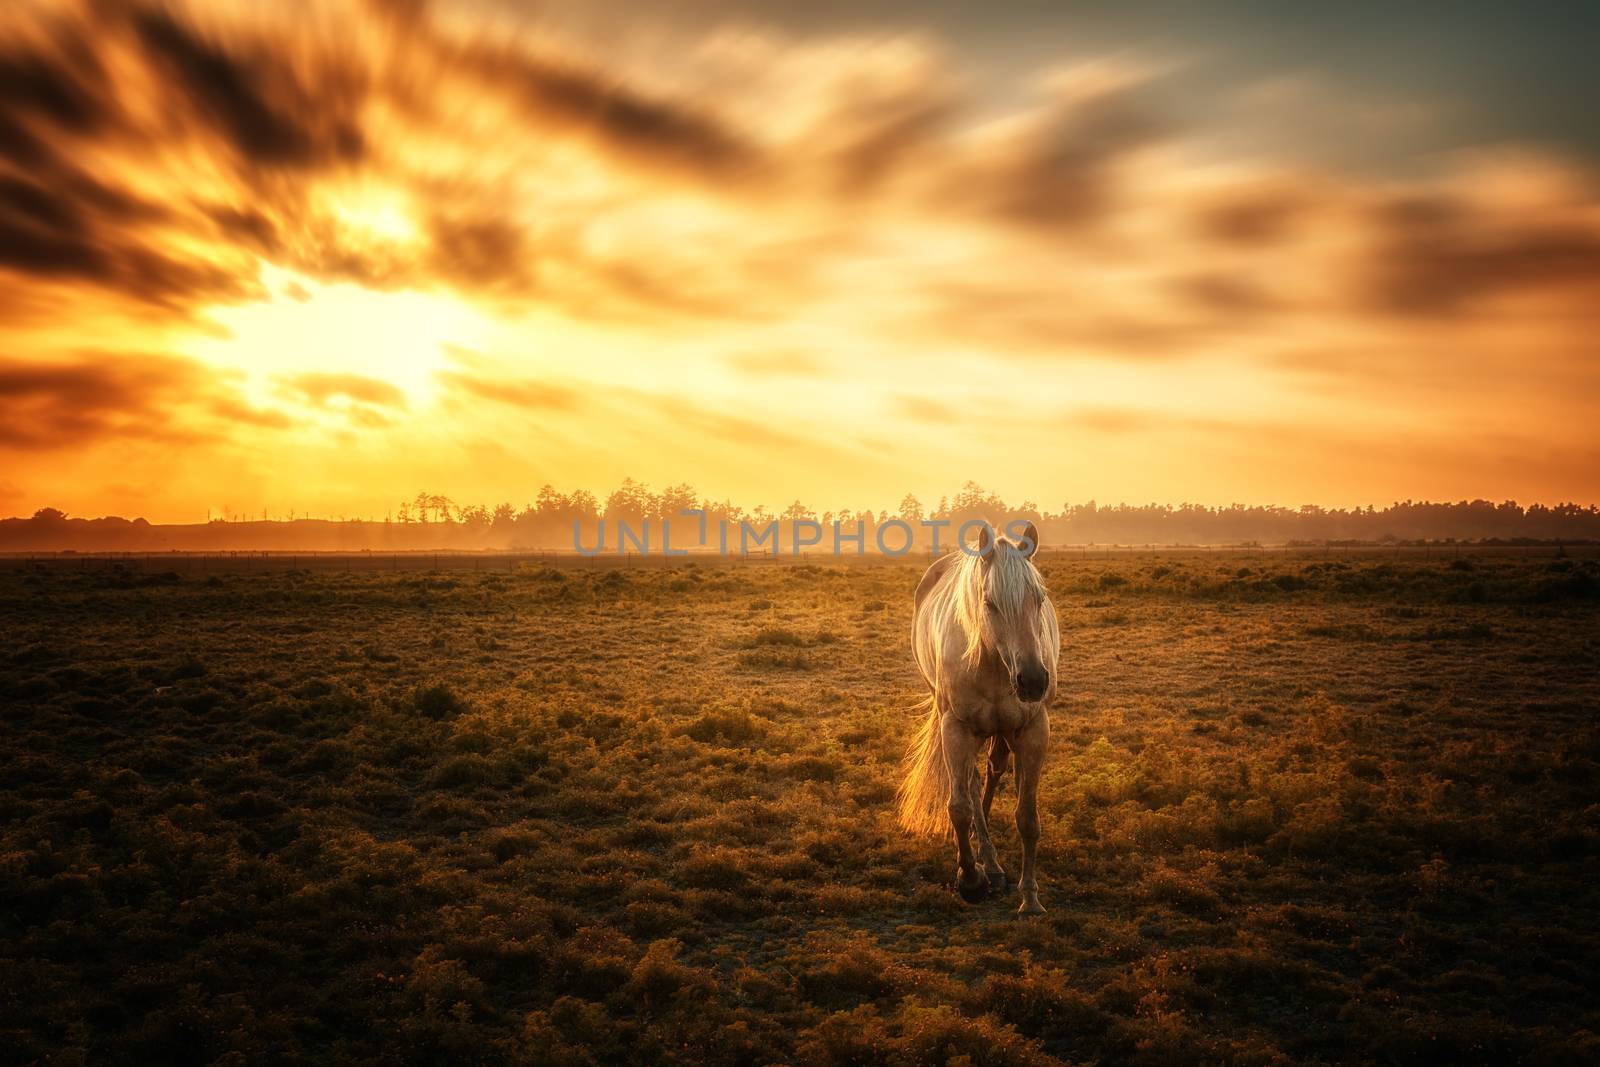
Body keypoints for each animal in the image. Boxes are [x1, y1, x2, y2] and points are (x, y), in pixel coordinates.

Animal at [902, 521, 1062, 915]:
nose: (1033, 680)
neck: (993, 664)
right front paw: (970, 880)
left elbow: (1027, 817)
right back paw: (986, 864)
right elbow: (959, 807)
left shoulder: (1033, 731)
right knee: (973, 785)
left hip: (1004, 731)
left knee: (995, 770)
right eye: (989, 603)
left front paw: (1030, 898)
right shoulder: (956, 729)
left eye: (1039, 599)